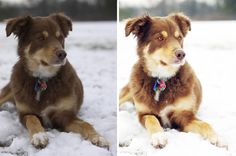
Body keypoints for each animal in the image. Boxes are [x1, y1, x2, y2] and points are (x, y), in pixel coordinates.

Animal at [0, 13, 109, 149]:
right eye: (40, 38)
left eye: (60, 37)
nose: (62, 54)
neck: (43, 79)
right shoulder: (24, 113)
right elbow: (32, 118)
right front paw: (39, 135)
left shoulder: (65, 116)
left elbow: (85, 124)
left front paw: (98, 137)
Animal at [120, 12, 225, 148]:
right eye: (160, 38)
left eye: (179, 37)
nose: (181, 54)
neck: (162, 78)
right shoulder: (143, 113)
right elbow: (152, 119)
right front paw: (158, 136)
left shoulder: (184, 116)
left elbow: (205, 124)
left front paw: (217, 137)